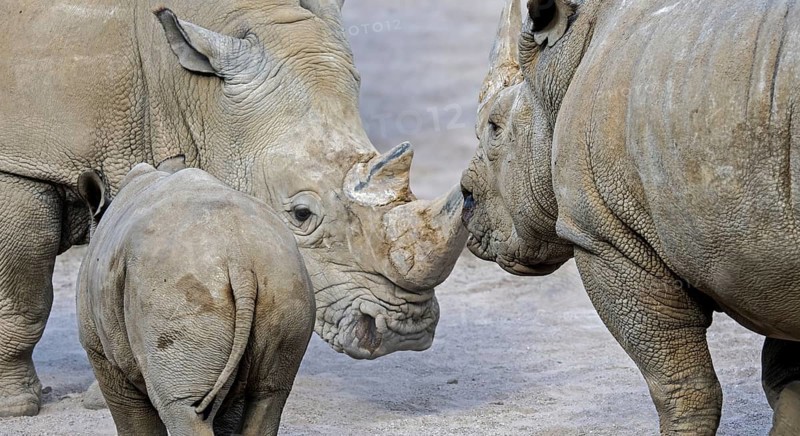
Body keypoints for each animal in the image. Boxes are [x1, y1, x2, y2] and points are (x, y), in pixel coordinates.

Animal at [78, 162, 314, 436]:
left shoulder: (100, 353)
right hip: (283, 274)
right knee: (270, 395)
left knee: (181, 407)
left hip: (173, 289)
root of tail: (240, 256)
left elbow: (132, 420)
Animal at [461, 0, 800, 433]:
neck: (561, 65)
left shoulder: (607, 238)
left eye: (495, 127)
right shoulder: (774, 259)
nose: (466, 200)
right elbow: (786, 377)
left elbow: (679, 384)